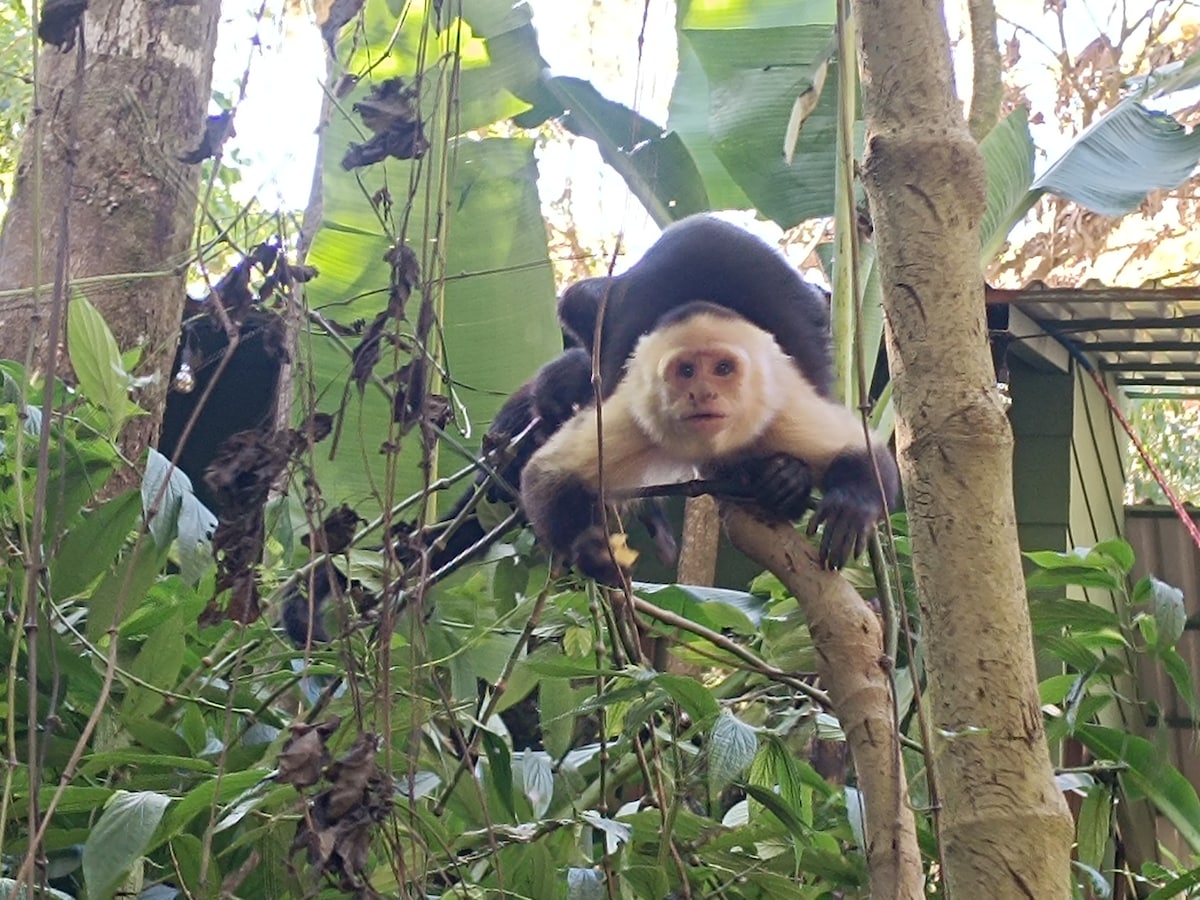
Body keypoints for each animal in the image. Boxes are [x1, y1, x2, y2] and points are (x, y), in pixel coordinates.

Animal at [520, 301, 897, 585]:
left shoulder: (777, 410)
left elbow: (861, 449)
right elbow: (547, 471)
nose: (702, 393)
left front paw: (851, 504)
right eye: (686, 371)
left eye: (723, 368)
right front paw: (590, 549)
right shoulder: (638, 416)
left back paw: (784, 480)